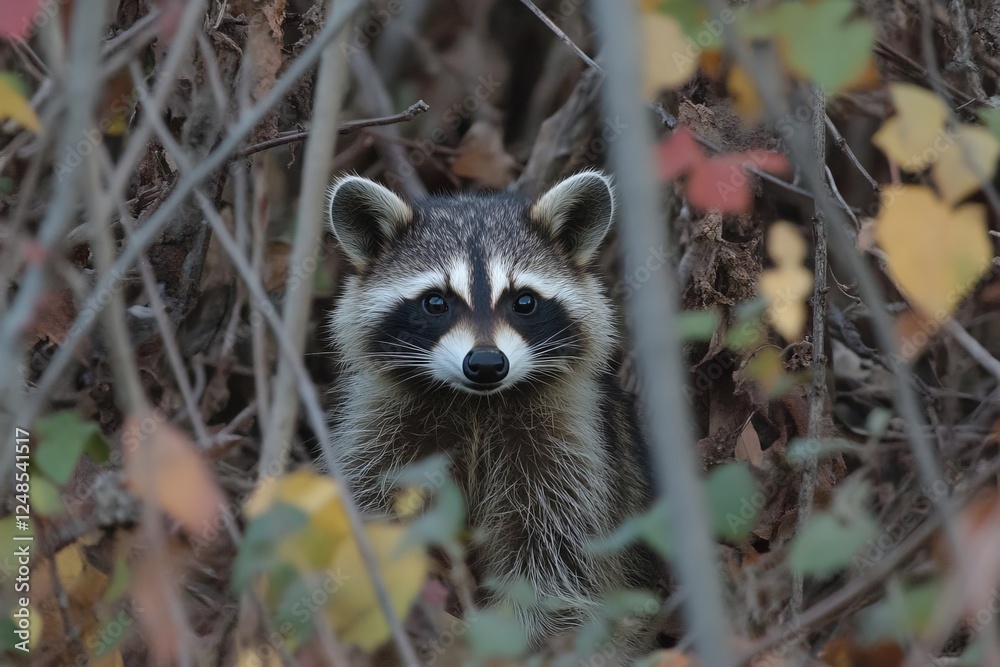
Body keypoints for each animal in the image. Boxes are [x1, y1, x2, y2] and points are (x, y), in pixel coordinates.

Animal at [324, 171, 658, 650]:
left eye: (524, 301)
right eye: (435, 302)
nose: (485, 364)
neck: (476, 404)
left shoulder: (572, 445)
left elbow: (557, 554)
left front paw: (517, 635)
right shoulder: (379, 426)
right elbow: (372, 502)